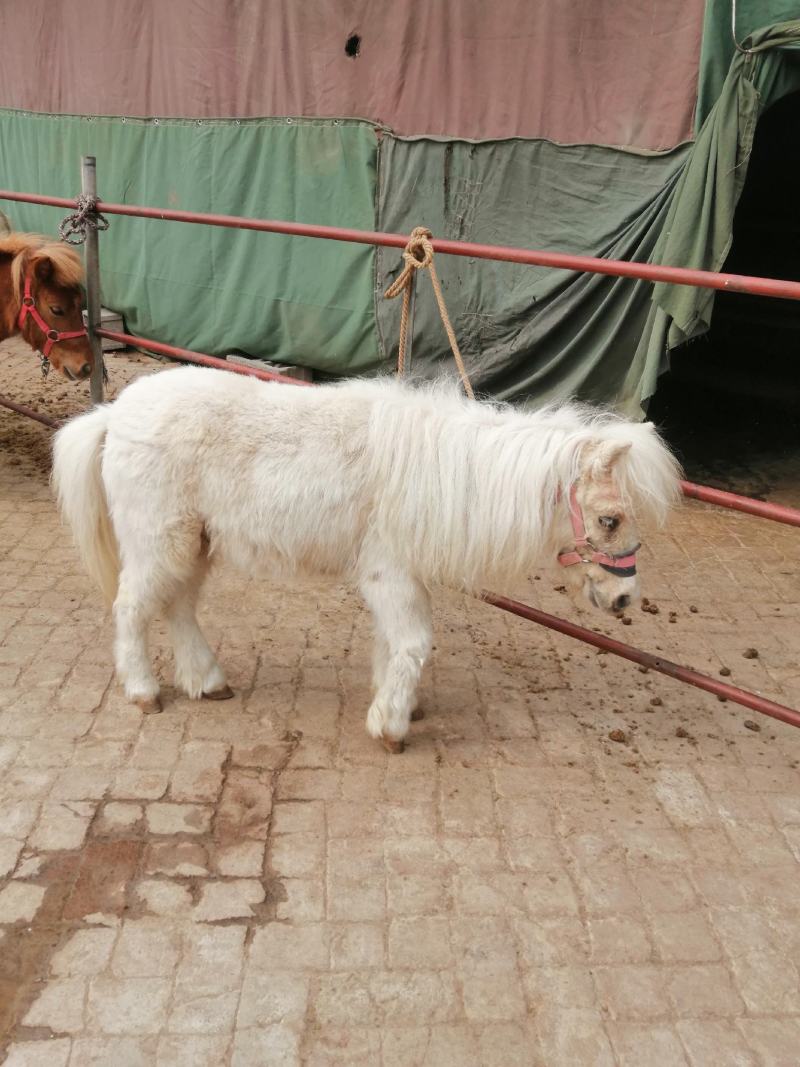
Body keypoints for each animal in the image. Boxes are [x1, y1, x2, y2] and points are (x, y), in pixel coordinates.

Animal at [52, 367, 681, 751]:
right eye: (610, 519)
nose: (625, 598)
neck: (449, 473)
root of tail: (113, 415)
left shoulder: (396, 577)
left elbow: (392, 643)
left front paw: (395, 702)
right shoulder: (391, 572)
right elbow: (413, 643)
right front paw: (391, 725)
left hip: (193, 543)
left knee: (178, 605)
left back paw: (208, 682)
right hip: (157, 539)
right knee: (132, 609)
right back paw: (144, 692)